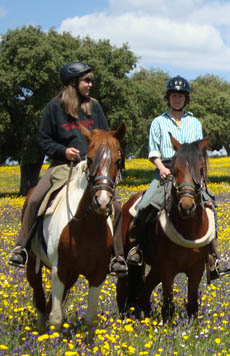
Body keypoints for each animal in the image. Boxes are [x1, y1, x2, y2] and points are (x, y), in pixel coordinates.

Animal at [26, 124, 126, 330]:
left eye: (118, 160)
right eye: (90, 159)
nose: (102, 201)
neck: (87, 226)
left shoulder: (97, 274)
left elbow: (90, 319)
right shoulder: (60, 270)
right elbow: (56, 318)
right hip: (33, 264)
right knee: (40, 300)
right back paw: (40, 330)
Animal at [117, 134, 216, 322]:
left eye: (200, 169)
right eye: (174, 170)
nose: (186, 206)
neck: (189, 231)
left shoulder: (197, 268)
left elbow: (192, 304)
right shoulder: (167, 268)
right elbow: (168, 304)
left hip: (155, 268)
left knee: (144, 290)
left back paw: (145, 318)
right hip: (130, 262)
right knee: (123, 289)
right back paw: (125, 318)